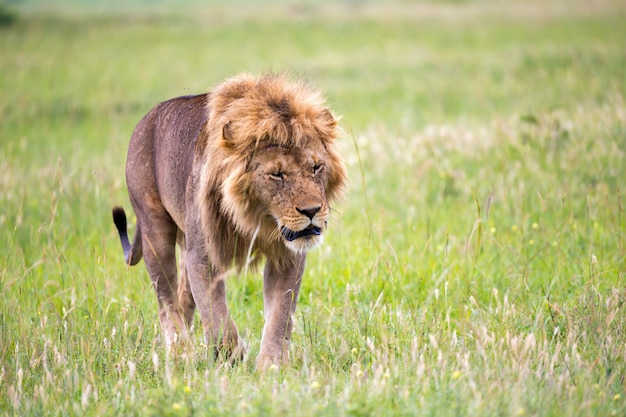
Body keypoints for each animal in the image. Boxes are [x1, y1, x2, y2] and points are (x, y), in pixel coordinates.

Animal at [112, 73, 346, 366]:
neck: (257, 218)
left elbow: (280, 313)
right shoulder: (202, 255)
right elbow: (216, 313)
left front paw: (271, 364)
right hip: (155, 229)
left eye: (316, 167)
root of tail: (146, 119)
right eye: (276, 174)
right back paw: (179, 353)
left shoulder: (287, 257)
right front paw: (233, 357)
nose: (312, 210)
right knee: (166, 299)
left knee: (183, 296)